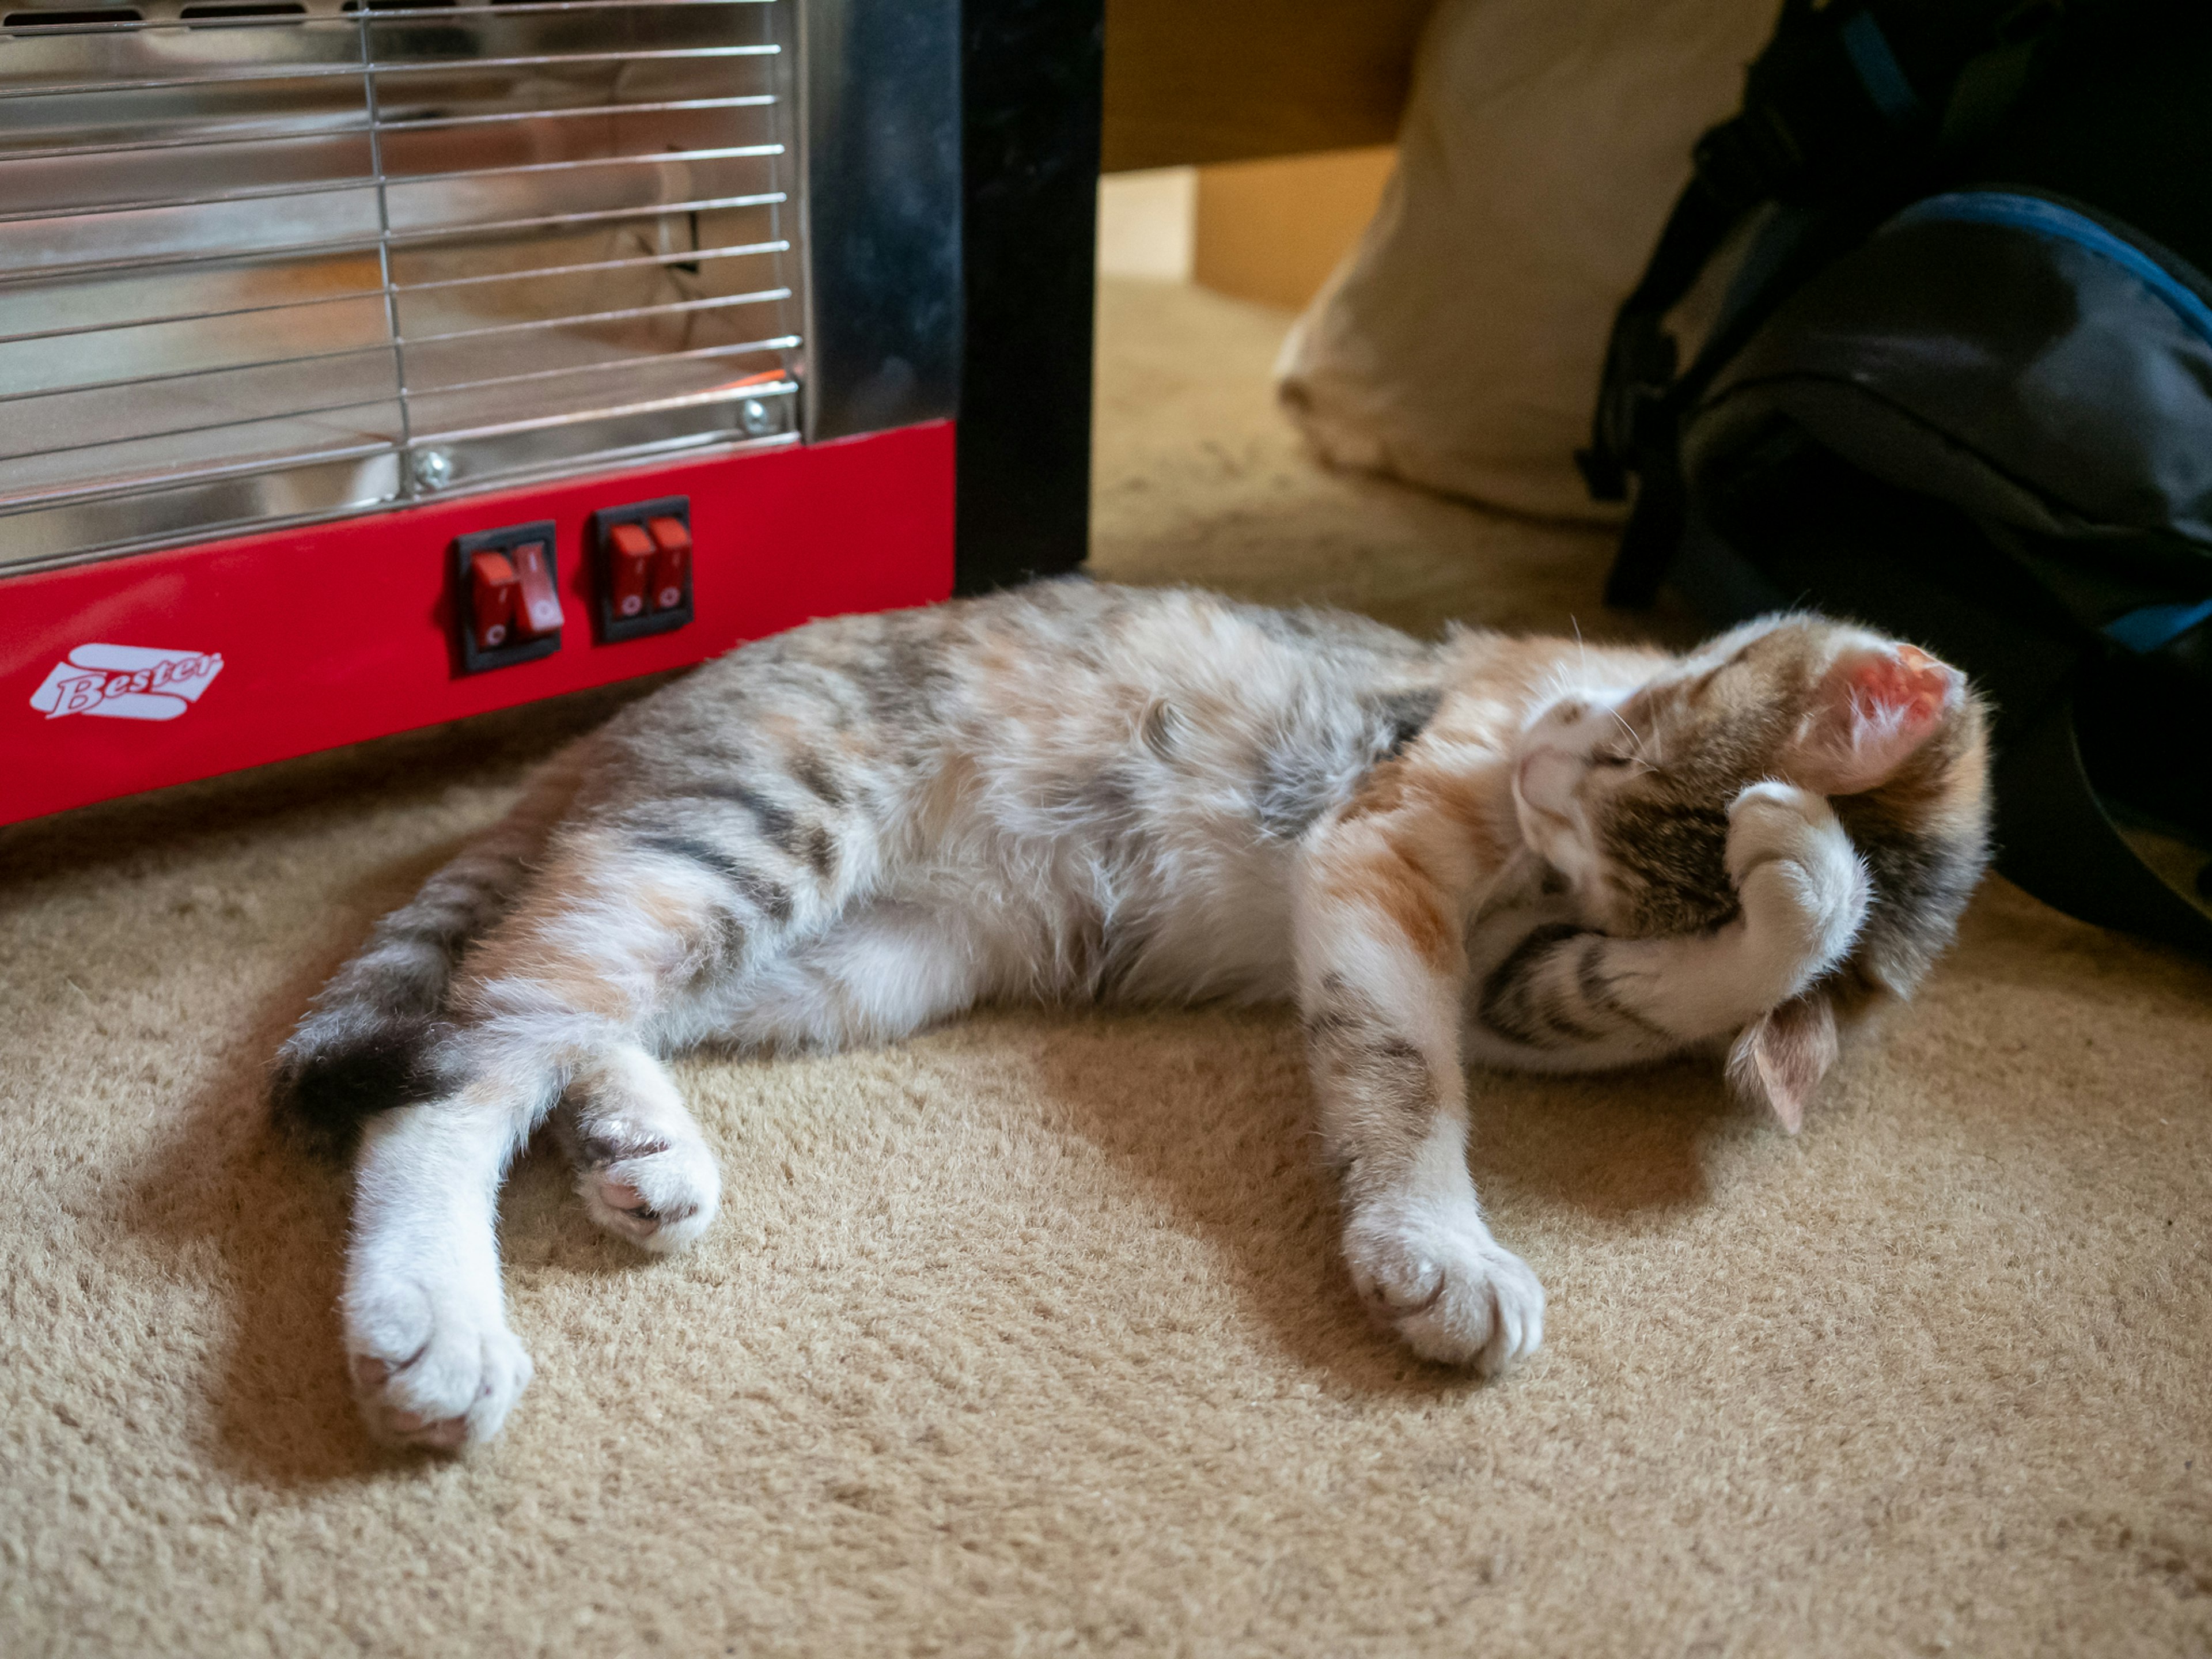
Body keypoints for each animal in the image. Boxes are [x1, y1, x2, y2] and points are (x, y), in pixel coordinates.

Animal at [272, 579, 1991, 1451]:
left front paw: (1801, 885)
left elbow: (1660, 981)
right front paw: (1436, 1245)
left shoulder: (1529, 987)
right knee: (464, 1060)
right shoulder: (1384, 850)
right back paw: (430, 1314)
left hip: (853, 960)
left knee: (563, 1006)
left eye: (1619, 784)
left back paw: (636, 1141)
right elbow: (1404, 1070)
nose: (1548, 769)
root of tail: (624, 720)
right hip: (757, 833)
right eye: (1633, 736)